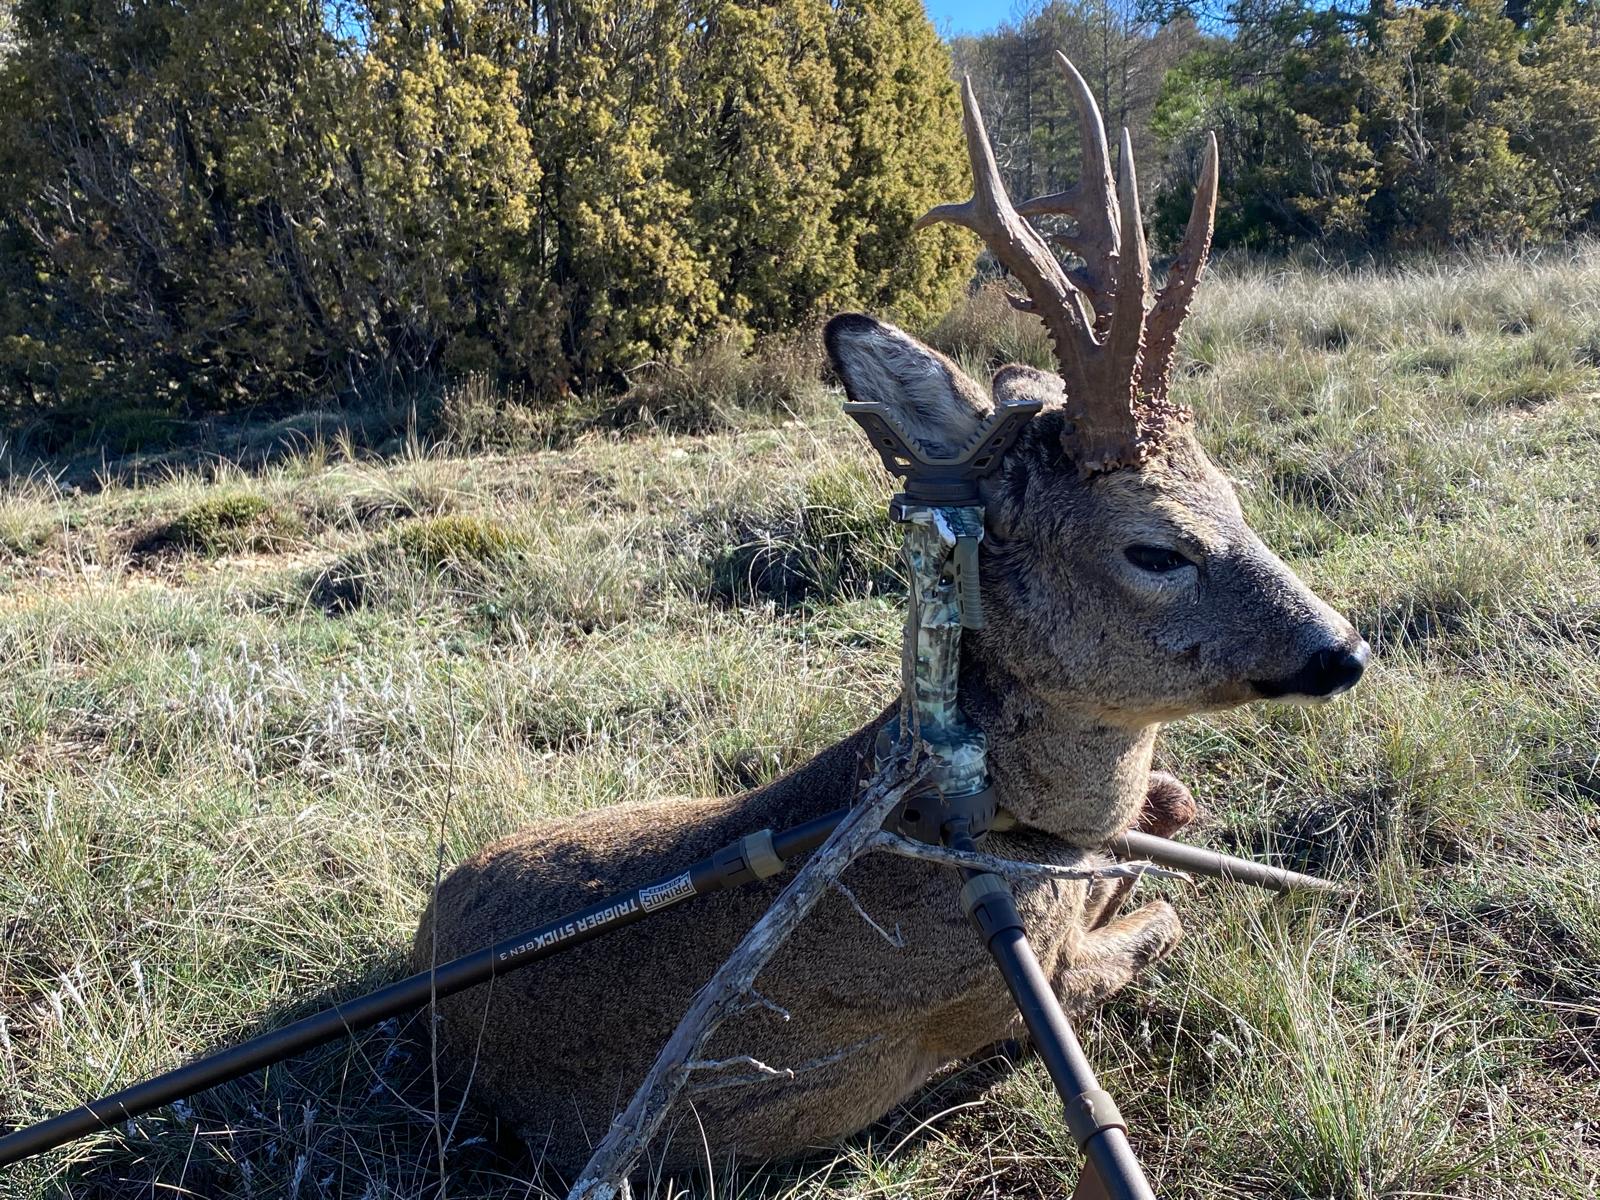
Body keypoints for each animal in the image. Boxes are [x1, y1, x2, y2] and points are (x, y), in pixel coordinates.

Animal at [413, 54, 1369, 1177]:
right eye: (1154, 548)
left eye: (1236, 494)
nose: (1342, 648)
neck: (1016, 823)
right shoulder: (1006, 994)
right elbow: (1168, 909)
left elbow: (1171, 814)